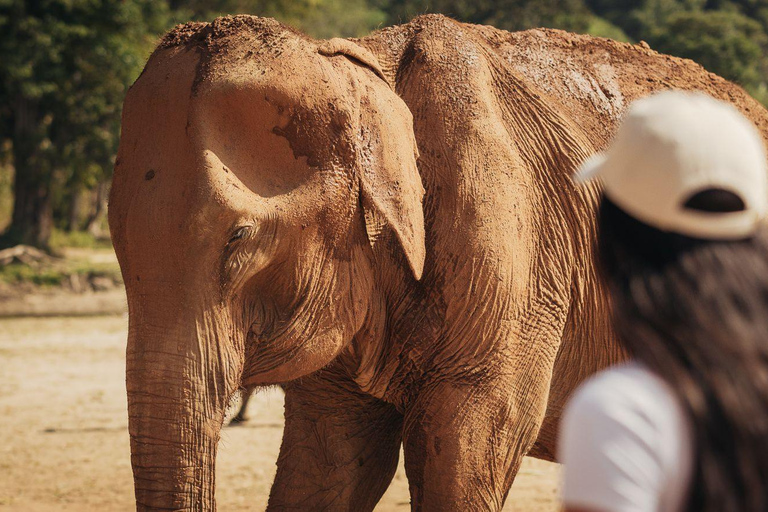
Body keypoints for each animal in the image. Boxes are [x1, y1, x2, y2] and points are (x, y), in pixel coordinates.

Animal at [108, 13, 768, 512]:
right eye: (116, 243)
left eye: (240, 239)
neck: (361, 66)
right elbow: (329, 464)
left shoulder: (513, 252)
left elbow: (468, 452)